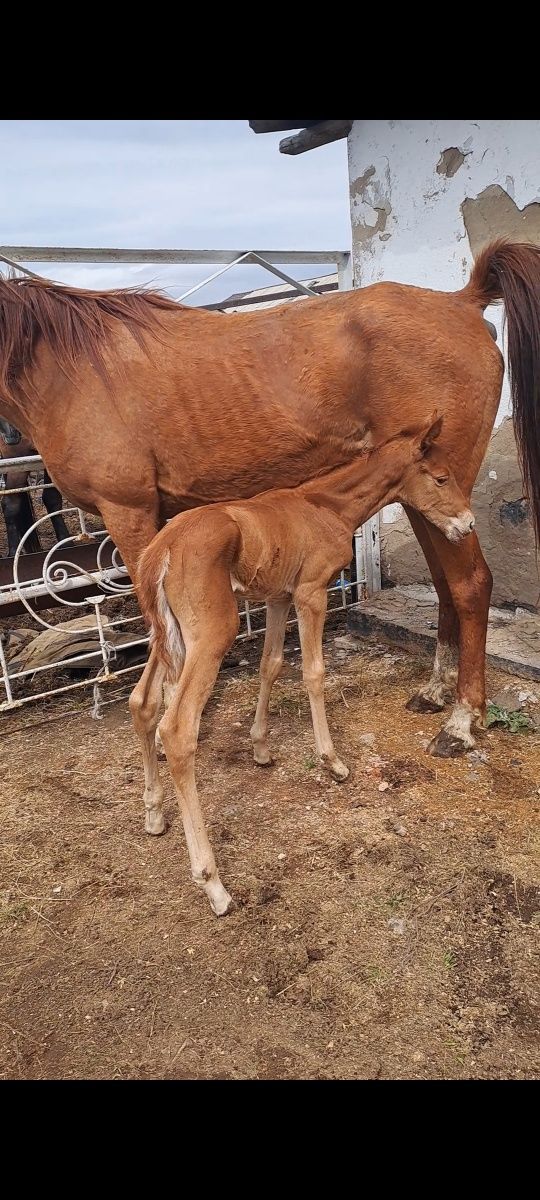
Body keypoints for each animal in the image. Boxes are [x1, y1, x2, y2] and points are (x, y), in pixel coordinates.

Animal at [129, 417, 472, 912]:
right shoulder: (312, 592)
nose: (467, 523)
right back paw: (212, 882)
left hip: (164, 634)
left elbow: (270, 664)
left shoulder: (278, 595)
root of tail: (164, 548)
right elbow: (313, 672)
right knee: (176, 729)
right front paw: (332, 761)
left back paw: (154, 814)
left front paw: (260, 748)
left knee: (142, 704)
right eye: (442, 478)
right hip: (211, 635)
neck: (326, 506)